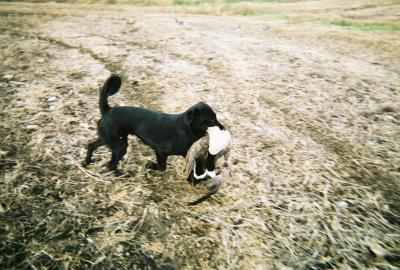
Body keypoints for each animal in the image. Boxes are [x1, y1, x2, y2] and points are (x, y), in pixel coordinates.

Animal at [85, 75, 225, 176]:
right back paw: (121, 174)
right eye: (210, 120)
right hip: (119, 145)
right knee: (111, 165)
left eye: (216, 117)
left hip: (112, 140)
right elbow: (162, 167)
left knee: (92, 145)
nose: (224, 128)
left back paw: (87, 162)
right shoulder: (161, 152)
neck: (186, 130)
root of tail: (107, 110)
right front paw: (151, 165)